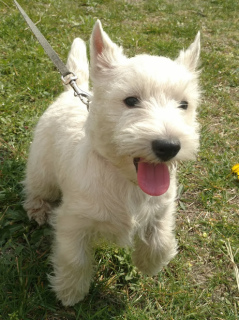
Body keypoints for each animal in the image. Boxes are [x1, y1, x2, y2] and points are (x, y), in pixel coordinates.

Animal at [23, 20, 200, 304]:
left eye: (184, 104)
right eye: (131, 100)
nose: (168, 146)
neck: (125, 180)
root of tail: (72, 90)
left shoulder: (162, 208)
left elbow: (160, 240)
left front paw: (149, 263)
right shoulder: (73, 221)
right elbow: (75, 258)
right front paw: (70, 292)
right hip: (42, 169)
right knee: (37, 188)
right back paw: (38, 209)